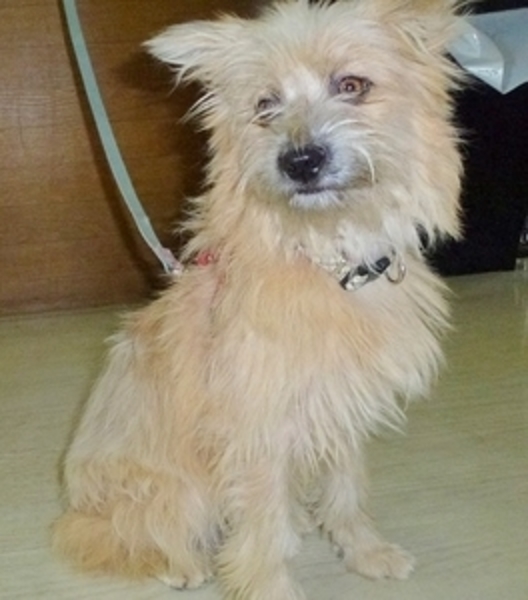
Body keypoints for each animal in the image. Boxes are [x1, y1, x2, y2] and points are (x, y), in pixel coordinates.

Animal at [52, 1, 464, 598]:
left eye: (352, 85)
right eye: (265, 105)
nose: (301, 161)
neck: (326, 258)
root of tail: (76, 506)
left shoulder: (339, 409)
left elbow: (346, 490)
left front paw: (365, 552)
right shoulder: (258, 430)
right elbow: (263, 529)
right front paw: (270, 585)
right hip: (176, 488)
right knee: (136, 532)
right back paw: (183, 564)